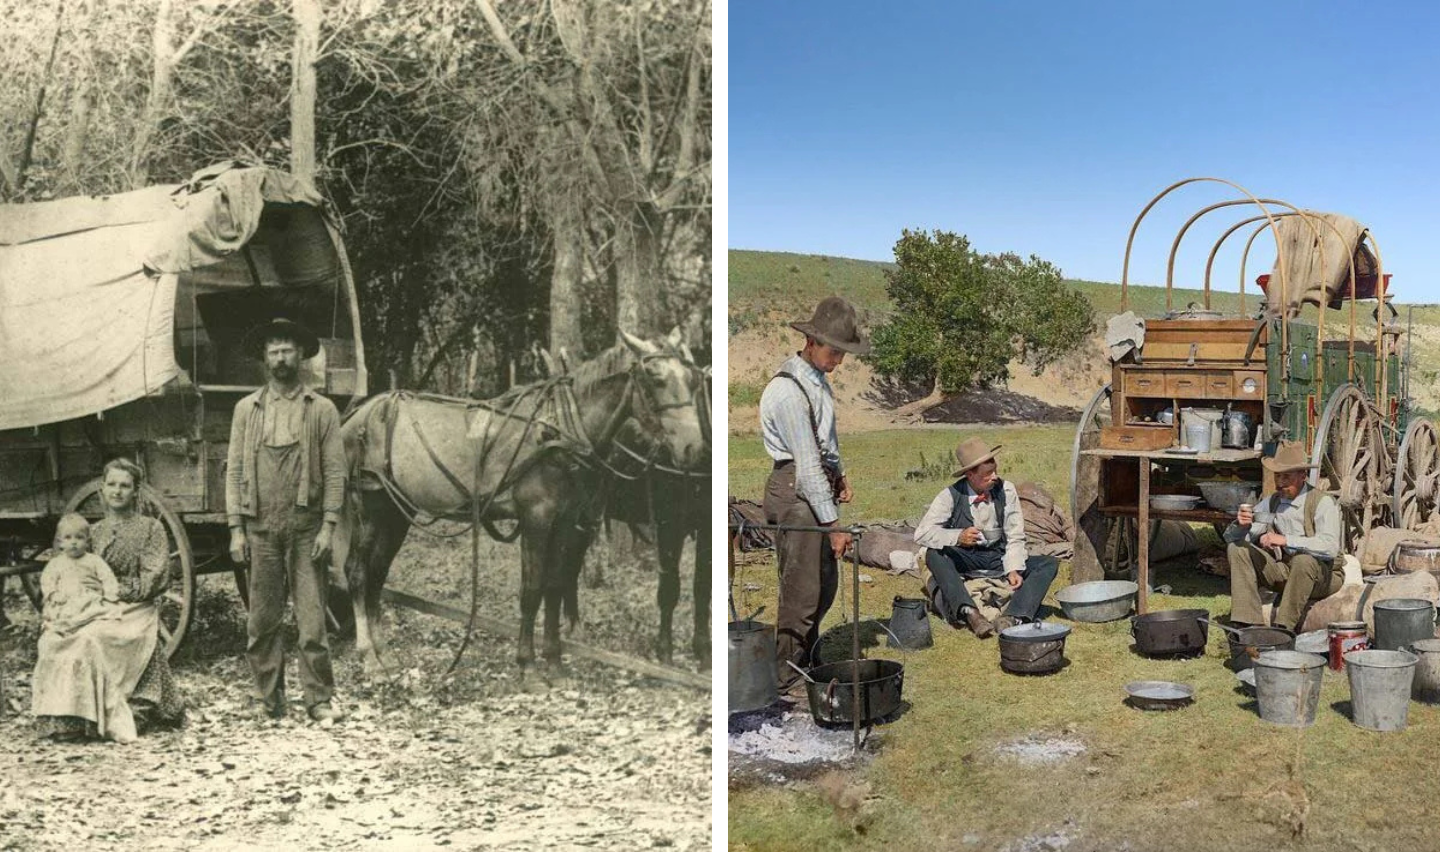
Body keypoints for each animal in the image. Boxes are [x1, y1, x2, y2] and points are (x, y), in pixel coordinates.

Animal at [331, 331, 702, 673]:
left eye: (691, 379)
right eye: (655, 379)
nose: (693, 448)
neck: (560, 429)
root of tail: (359, 414)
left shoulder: (565, 521)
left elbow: (554, 587)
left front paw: (554, 662)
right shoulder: (536, 518)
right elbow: (532, 590)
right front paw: (528, 666)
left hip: (396, 510)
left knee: (378, 571)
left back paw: (383, 652)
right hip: (369, 507)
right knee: (357, 572)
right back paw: (368, 655)